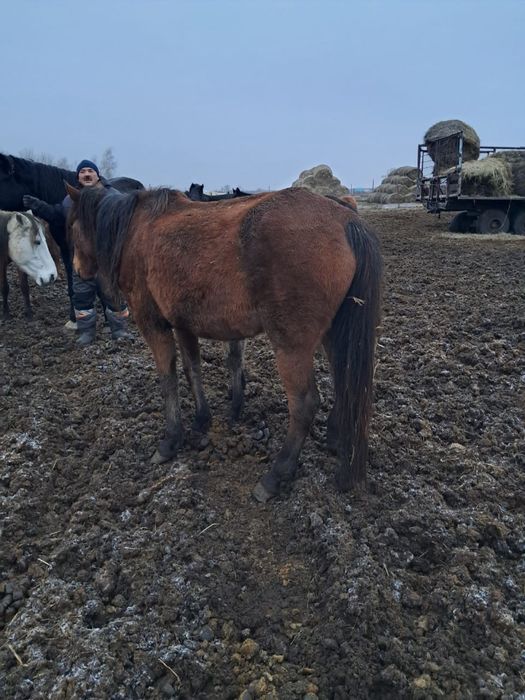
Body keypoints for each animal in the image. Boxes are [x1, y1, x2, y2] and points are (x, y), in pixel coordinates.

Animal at [67, 183, 382, 502]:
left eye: (72, 226)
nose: (77, 270)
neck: (136, 229)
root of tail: (345, 218)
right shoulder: (184, 324)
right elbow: (192, 370)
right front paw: (201, 420)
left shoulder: (153, 324)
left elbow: (168, 379)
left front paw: (170, 440)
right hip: (333, 333)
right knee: (343, 381)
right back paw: (336, 438)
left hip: (292, 345)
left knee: (305, 404)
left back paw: (275, 476)